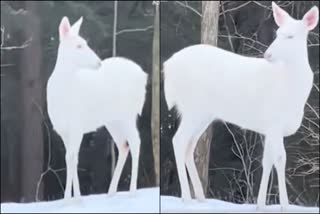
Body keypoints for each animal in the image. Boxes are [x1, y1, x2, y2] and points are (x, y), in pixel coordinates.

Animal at [46, 16, 148, 201]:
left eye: (85, 43)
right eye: (79, 45)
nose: (98, 62)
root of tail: (144, 76)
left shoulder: (77, 125)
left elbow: (71, 158)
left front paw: (71, 199)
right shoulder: (63, 130)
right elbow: (70, 158)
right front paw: (74, 199)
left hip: (128, 113)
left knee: (136, 142)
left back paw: (132, 191)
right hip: (113, 120)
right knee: (123, 145)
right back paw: (111, 192)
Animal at [164, 1, 318, 211]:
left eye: (290, 36)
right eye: (278, 33)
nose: (268, 54)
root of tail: (167, 67)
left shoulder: (269, 128)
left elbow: (267, 161)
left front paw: (260, 205)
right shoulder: (274, 122)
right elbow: (280, 159)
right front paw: (285, 206)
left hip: (202, 113)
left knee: (190, 145)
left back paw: (201, 199)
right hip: (194, 107)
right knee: (179, 141)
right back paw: (187, 199)